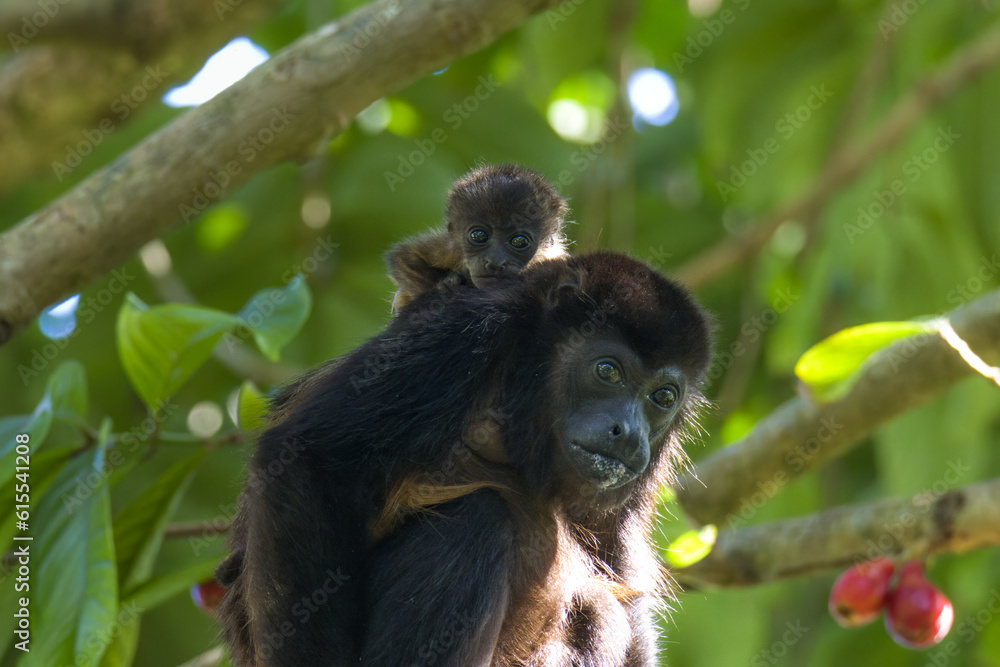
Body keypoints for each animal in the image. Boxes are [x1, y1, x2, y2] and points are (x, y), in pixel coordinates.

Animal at [216, 251, 712, 666]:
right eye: (607, 370)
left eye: (663, 397)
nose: (628, 434)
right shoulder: (468, 332)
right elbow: (310, 457)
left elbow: (623, 581)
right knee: (476, 518)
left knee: (600, 609)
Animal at [384, 163, 569, 311]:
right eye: (479, 236)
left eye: (519, 241)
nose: (495, 261)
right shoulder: (449, 248)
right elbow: (403, 257)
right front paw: (442, 284)